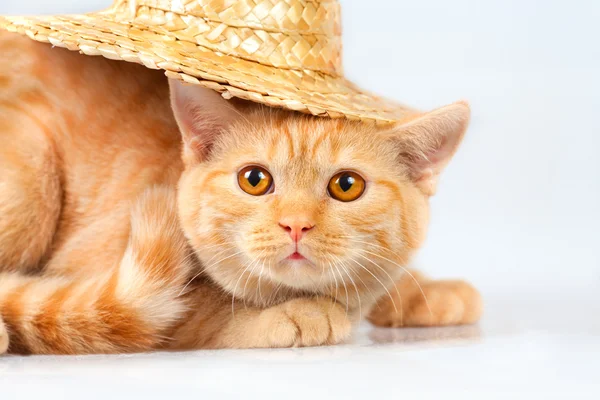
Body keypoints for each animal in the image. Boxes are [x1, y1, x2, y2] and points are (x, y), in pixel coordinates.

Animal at [0, 32, 480, 354]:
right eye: (255, 180)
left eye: (347, 186)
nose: (296, 225)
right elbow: (196, 310)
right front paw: (294, 314)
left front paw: (422, 290)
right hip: (33, 171)